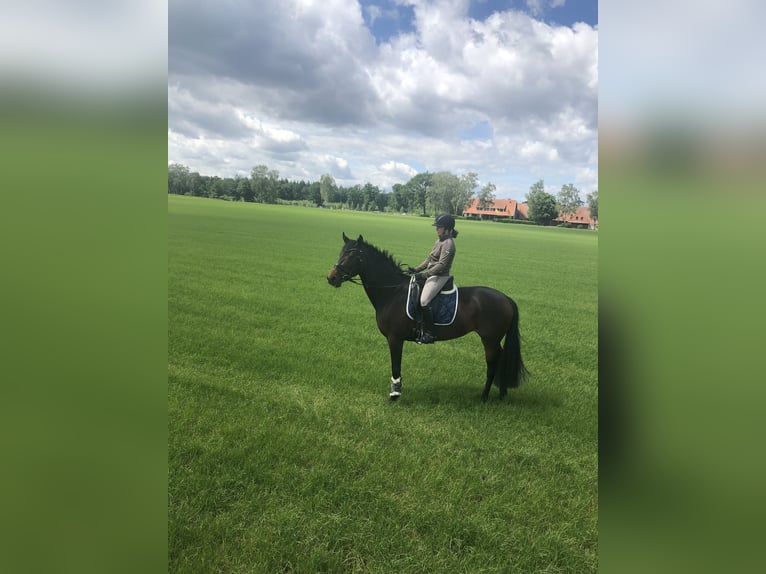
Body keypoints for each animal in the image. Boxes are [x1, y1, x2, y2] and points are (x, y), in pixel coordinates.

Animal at [326, 233, 528, 401]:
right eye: (341, 253)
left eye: (352, 256)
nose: (331, 278)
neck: (392, 292)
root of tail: (506, 298)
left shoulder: (394, 338)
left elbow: (396, 366)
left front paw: (394, 394)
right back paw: (502, 393)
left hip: (489, 339)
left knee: (492, 364)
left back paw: (484, 396)